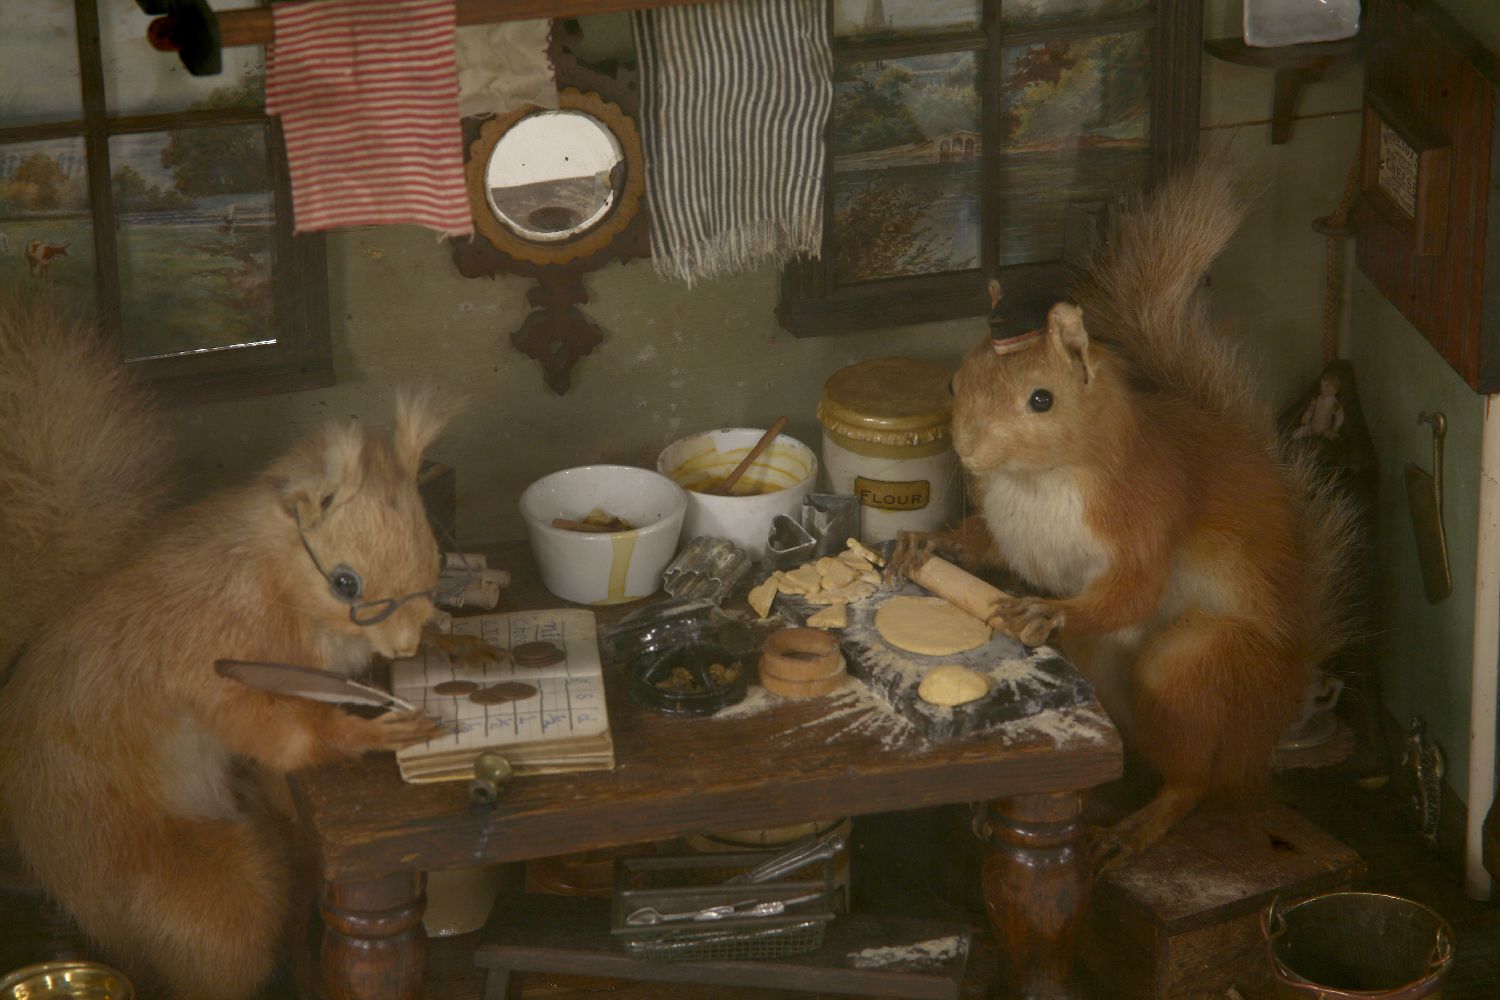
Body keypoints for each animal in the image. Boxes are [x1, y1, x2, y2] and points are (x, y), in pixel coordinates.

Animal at [0, 296, 462, 1000]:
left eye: (433, 550)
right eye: (344, 582)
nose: (408, 641)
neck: (273, 577)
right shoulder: (208, 653)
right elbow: (282, 736)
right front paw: (374, 731)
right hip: (188, 885)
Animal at [900, 160, 1362, 869]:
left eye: (1042, 399)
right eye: (954, 383)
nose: (970, 450)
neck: (1037, 482)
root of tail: (1275, 715)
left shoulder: (1146, 514)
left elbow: (1132, 590)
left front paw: (1044, 612)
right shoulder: (1007, 530)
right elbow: (986, 549)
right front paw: (930, 547)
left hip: (1193, 669)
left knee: (1194, 778)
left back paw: (1138, 826)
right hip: (1101, 670)